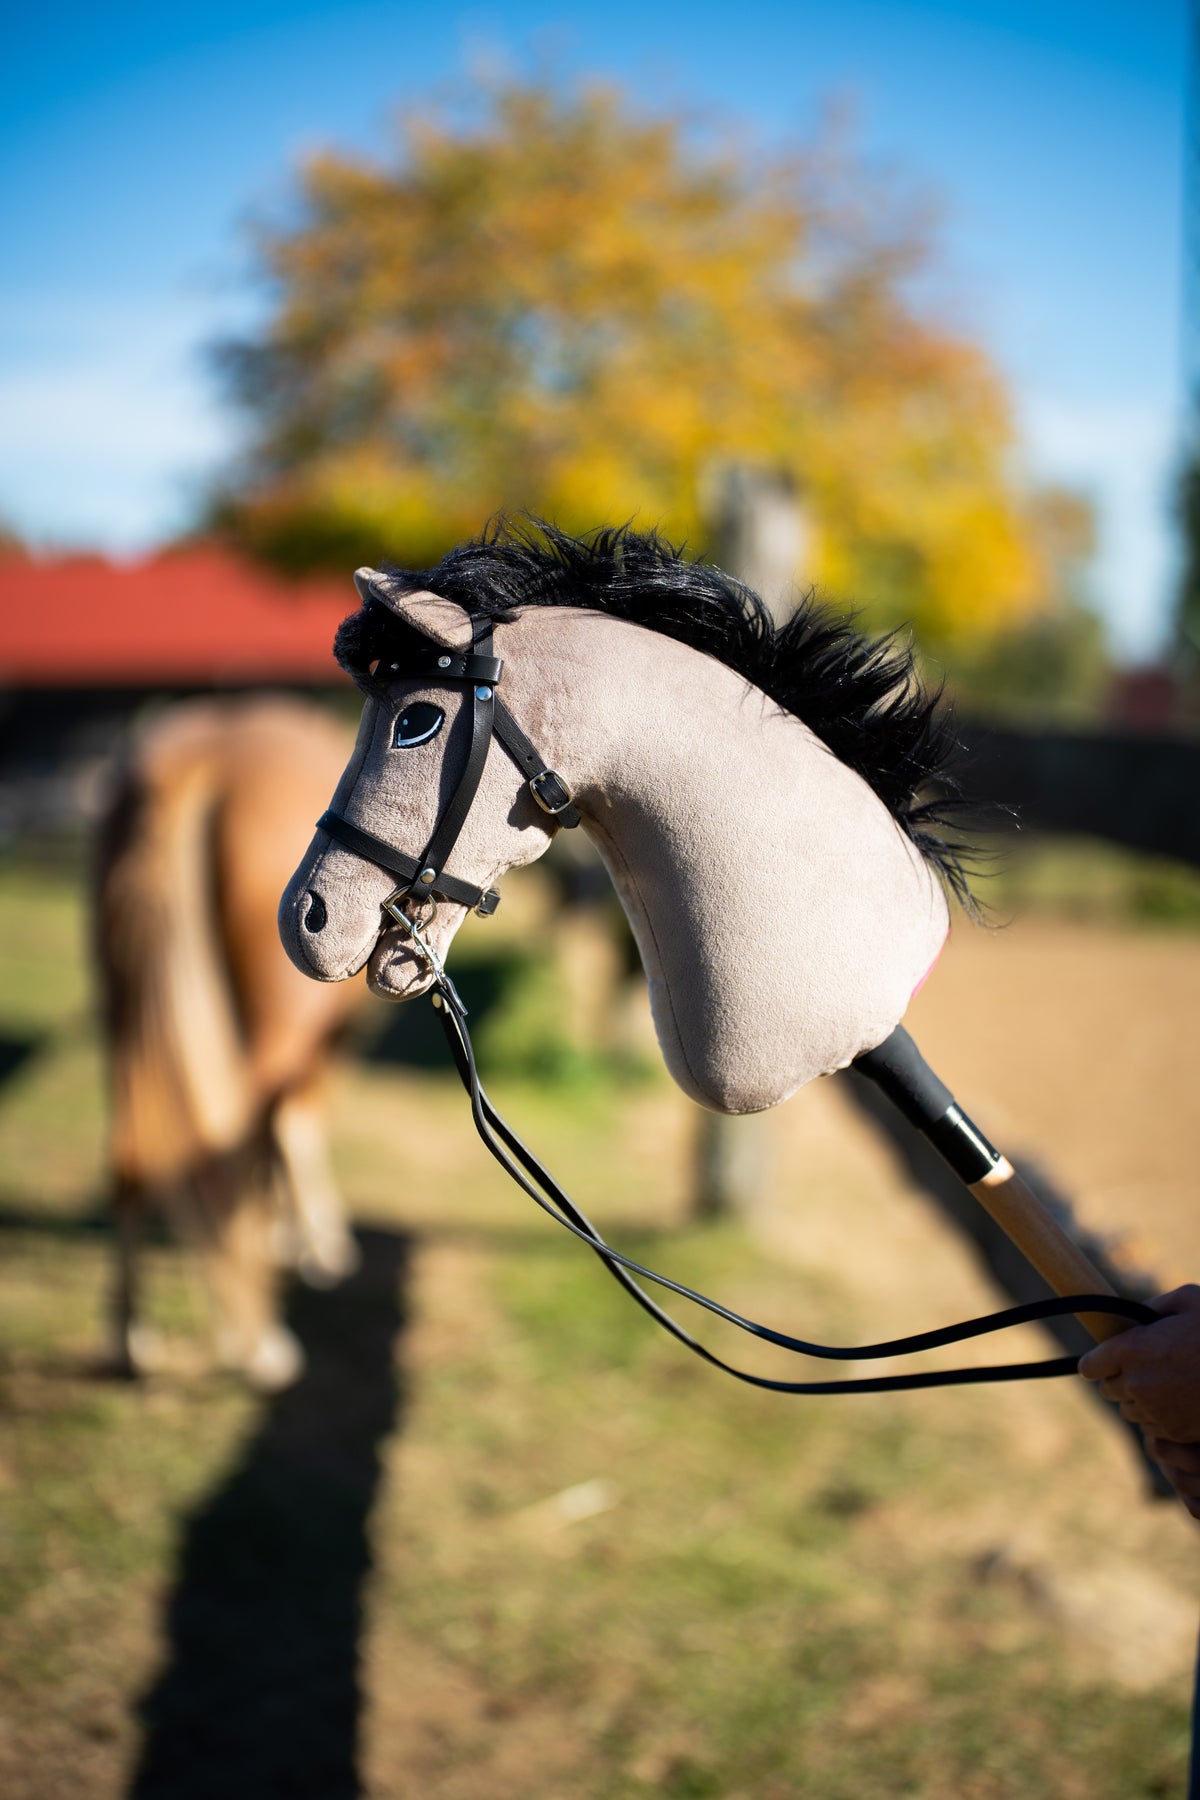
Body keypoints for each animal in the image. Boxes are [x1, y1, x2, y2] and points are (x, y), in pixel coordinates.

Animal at [95, 693, 361, 1389]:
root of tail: (199, 762)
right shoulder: (319, 1043)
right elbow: (297, 1126)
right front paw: (315, 1241)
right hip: (273, 1029)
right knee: (226, 1144)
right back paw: (259, 1344)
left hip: (120, 1009)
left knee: (130, 1154)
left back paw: (130, 1337)